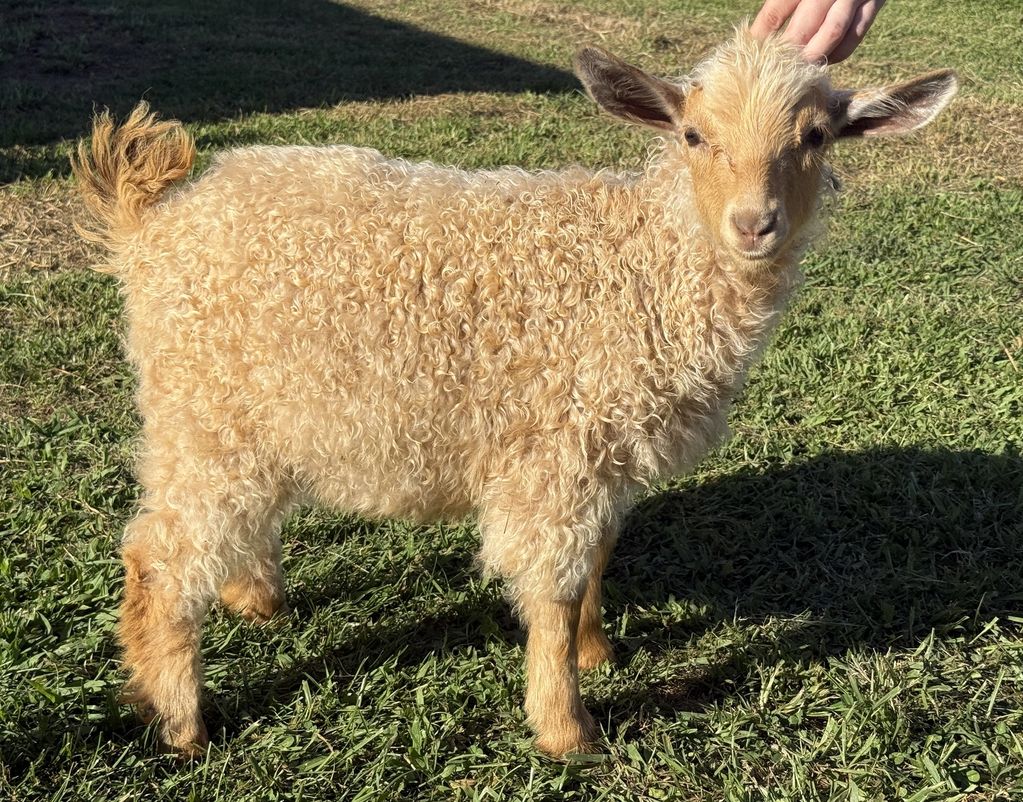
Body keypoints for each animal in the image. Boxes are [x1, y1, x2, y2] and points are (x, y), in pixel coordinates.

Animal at [73, 27, 956, 757]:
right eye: (693, 135)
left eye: (814, 137)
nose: (753, 224)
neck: (640, 263)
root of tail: (151, 224)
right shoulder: (555, 457)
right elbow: (553, 589)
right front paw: (567, 729)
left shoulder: (603, 455)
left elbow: (595, 560)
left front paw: (597, 653)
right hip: (202, 406)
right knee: (158, 555)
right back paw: (180, 720)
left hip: (240, 416)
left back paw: (255, 599)